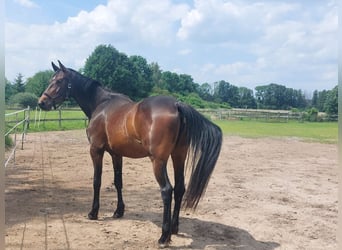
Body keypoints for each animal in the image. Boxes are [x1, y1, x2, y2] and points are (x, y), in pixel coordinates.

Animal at [38, 61, 223, 246]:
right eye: (50, 80)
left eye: (59, 81)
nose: (42, 102)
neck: (101, 104)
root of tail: (177, 105)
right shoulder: (116, 154)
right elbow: (118, 182)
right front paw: (118, 211)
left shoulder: (96, 150)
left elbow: (97, 181)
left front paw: (93, 212)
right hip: (178, 156)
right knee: (179, 189)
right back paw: (174, 228)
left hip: (158, 161)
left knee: (166, 190)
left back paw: (164, 236)